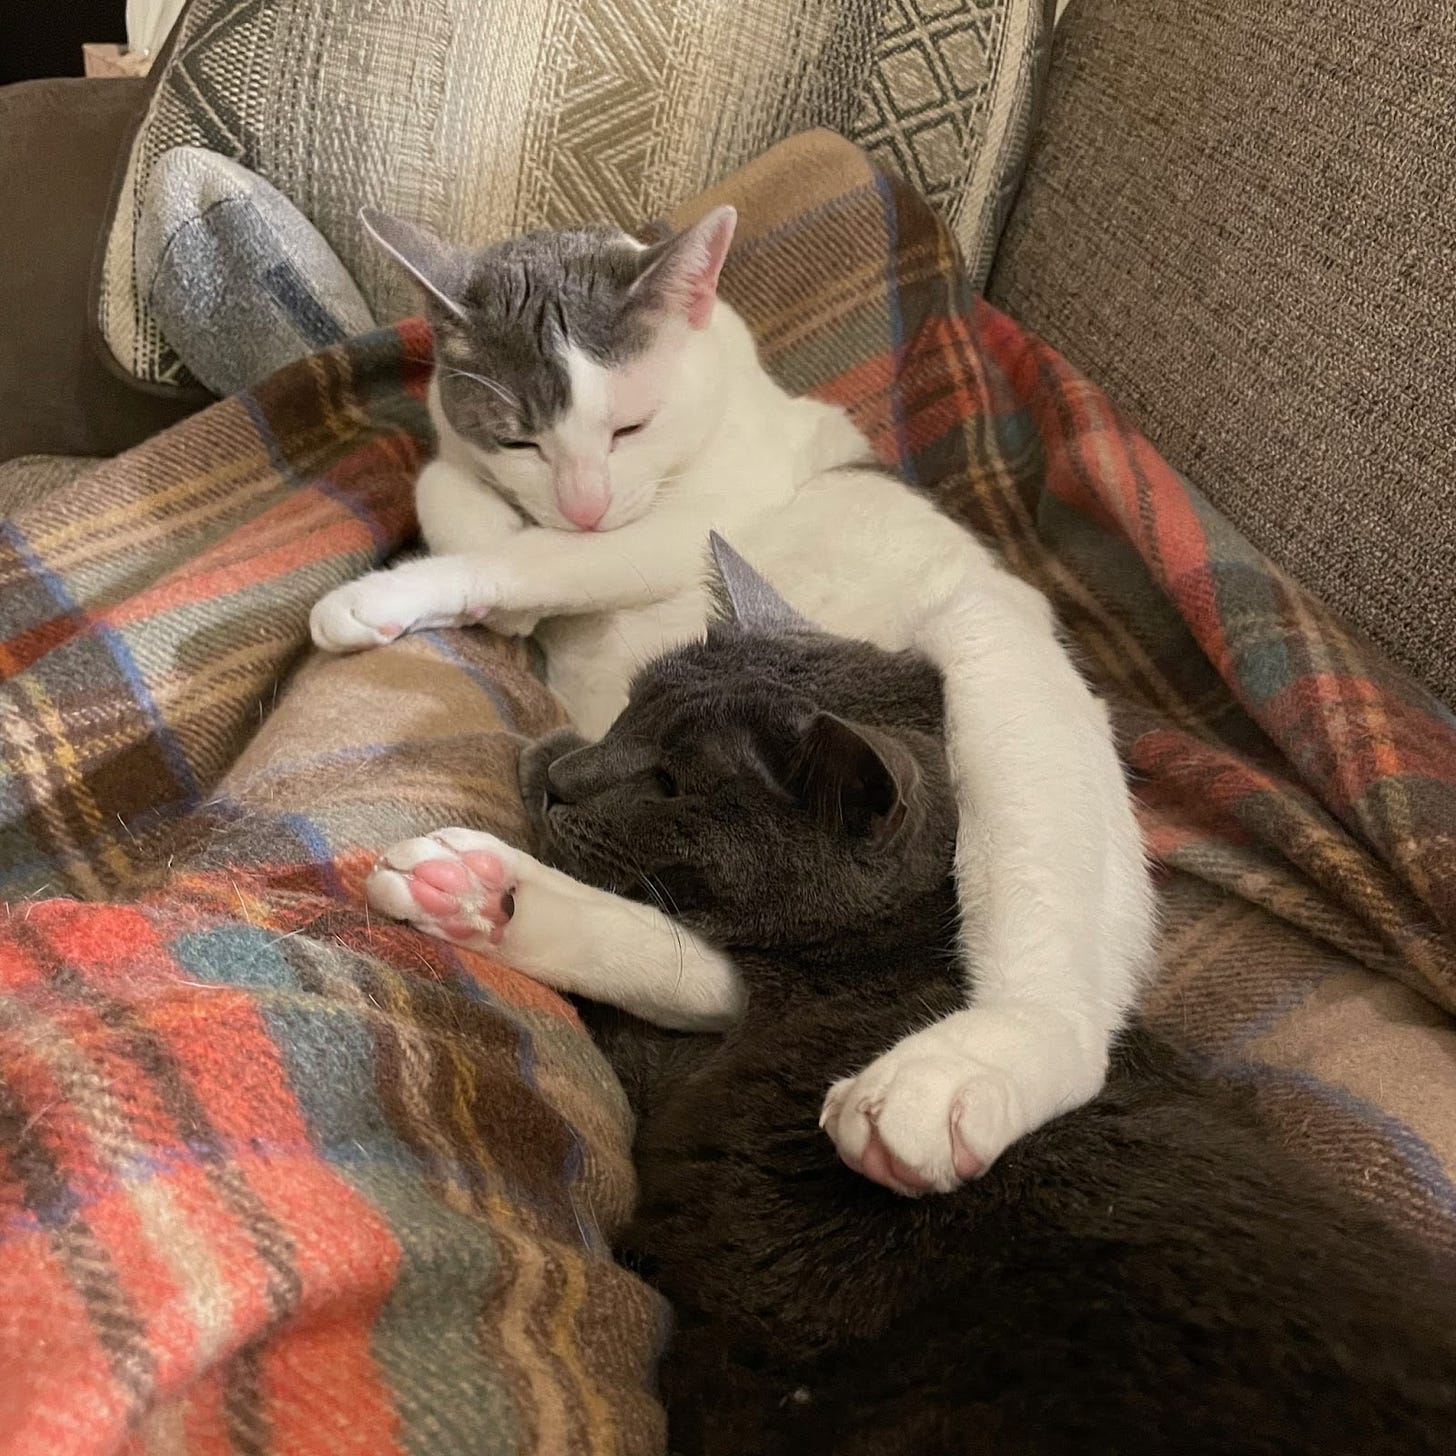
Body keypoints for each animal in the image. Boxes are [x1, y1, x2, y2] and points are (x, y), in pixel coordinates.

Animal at [313, 199, 1153, 1188]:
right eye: (521, 437)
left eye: (630, 428)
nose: (588, 502)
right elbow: (448, 488)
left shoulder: (668, 533)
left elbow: (527, 553)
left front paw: (383, 598)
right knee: (709, 969)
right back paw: (486, 896)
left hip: (996, 670)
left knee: (1061, 1021)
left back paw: (952, 1072)